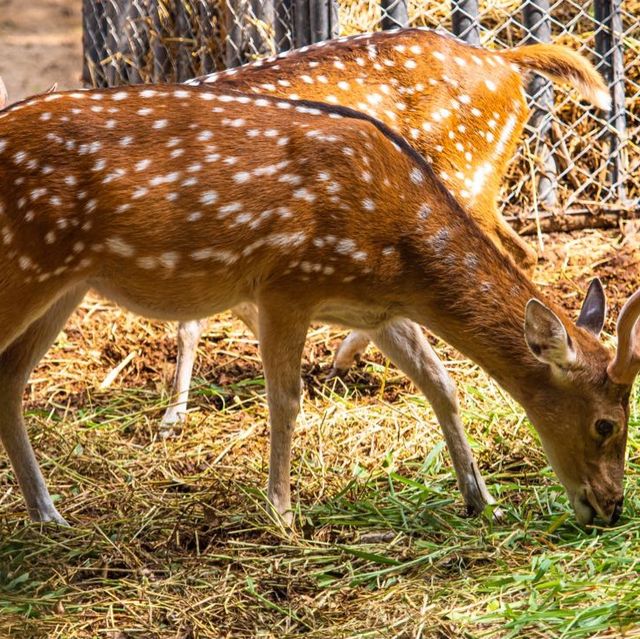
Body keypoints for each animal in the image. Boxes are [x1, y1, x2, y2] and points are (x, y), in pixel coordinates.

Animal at [0, 82, 636, 528]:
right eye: (606, 423)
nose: (610, 509)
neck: (400, 249)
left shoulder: (377, 310)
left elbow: (441, 384)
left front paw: (483, 502)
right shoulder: (286, 282)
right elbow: (286, 398)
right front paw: (282, 513)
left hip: (65, 284)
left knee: (9, 378)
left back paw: (49, 515)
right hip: (26, 266)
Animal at [159, 28, 608, 430]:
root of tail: (506, 61)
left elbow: (193, 323)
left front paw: (172, 417)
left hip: (462, 175)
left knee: (502, 255)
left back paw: (347, 356)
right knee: (521, 251)